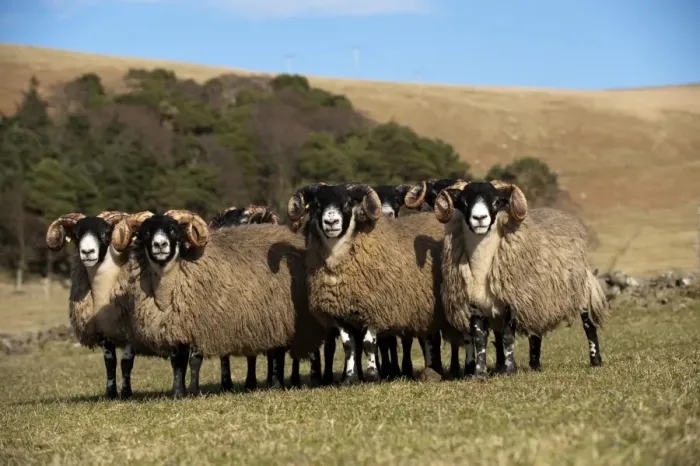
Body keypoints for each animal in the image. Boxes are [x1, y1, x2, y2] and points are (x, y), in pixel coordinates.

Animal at [110, 209, 327, 397]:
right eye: (146, 232)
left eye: (174, 230)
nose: (160, 245)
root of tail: (288, 234)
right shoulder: (178, 326)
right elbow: (177, 362)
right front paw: (178, 392)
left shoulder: (200, 323)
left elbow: (194, 361)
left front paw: (193, 391)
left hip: (281, 315)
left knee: (278, 353)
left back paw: (276, 384)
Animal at [286, 182, 453, 384]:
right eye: (317, 205)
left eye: (347, 204)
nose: (331, 222)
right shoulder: (339, 312)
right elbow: (349, 345)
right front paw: (350, 378)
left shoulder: (375, 306)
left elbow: (368, 343)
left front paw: (373, 375)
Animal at [431, 179, 608, 378]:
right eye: (463, 202)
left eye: (496, 202)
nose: (479, 218)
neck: (482, 266)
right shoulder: (475, 304)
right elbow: (479, 339)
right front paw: (479, 374)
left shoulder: (511, 300)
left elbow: (508, 337)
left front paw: (509, 370)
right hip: (535, 298)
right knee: (535, 331)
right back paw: (535, 365)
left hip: (580, 290)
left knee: (588, 324)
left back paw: (595, 360)